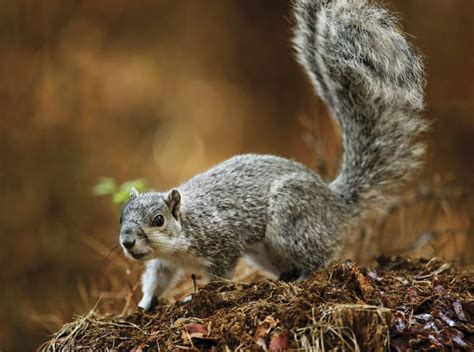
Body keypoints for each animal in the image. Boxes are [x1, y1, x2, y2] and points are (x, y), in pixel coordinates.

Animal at [120, 0, 428, 310]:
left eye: (158, 220)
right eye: (122, 216)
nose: (127, 242)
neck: (179, 237)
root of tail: (335, 202)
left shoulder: (222, 244)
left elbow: (219, 277)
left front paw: (197, 296)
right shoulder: (163, 263)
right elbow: (156, 281)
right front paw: (143, 306)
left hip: (291, 221)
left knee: (319, 259)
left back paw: (303, 278)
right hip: (265, 252)